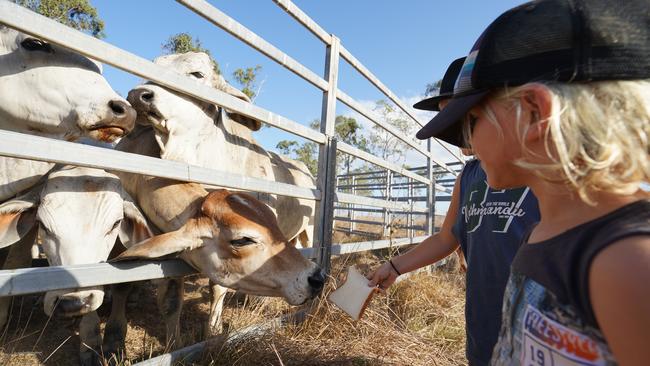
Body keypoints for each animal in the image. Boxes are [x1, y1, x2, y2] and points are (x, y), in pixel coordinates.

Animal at [0, 167, 151, 366]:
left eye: (115, 224)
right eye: (42, 225)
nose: (72, 303)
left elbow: (121, 287)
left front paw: (114, 343)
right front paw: (91, 344)